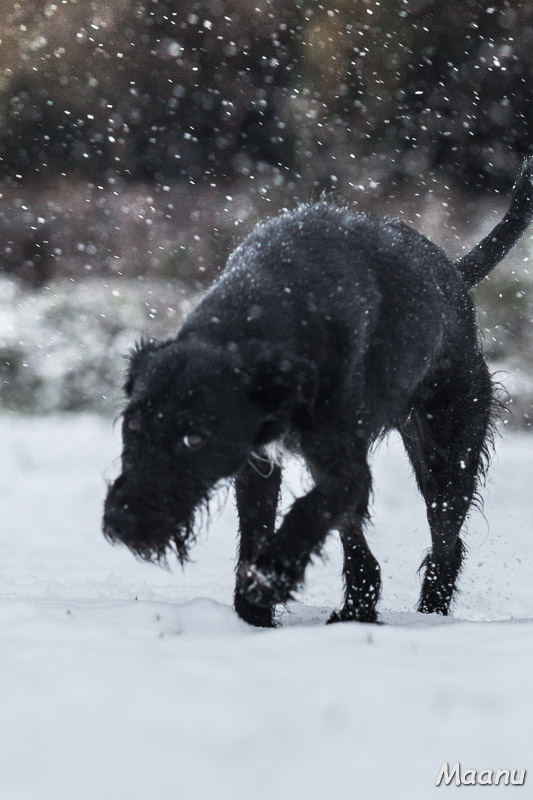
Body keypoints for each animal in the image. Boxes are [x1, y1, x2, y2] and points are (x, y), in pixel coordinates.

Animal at [103, 161, 532, 624]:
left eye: (194, 438)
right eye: (132, 425)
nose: (121, 522)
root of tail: (454, 275)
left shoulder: (342, 464)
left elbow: (309, 512)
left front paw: (271, 574)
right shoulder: (258, 463)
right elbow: (256, 528)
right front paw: (253, 615)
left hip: (448, 456)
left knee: (445, 545)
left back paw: (427, 613)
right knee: (362, 544)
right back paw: (358, 607)